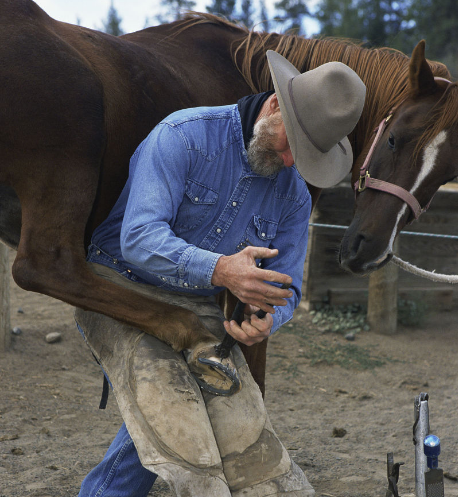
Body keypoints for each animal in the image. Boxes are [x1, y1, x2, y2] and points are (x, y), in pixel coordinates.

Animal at [0, 1, 452, 394]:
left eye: (449, 172)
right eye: (394, 138)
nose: (367, 251)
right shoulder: (251, 276)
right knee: (47, 266)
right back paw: (184, 328)